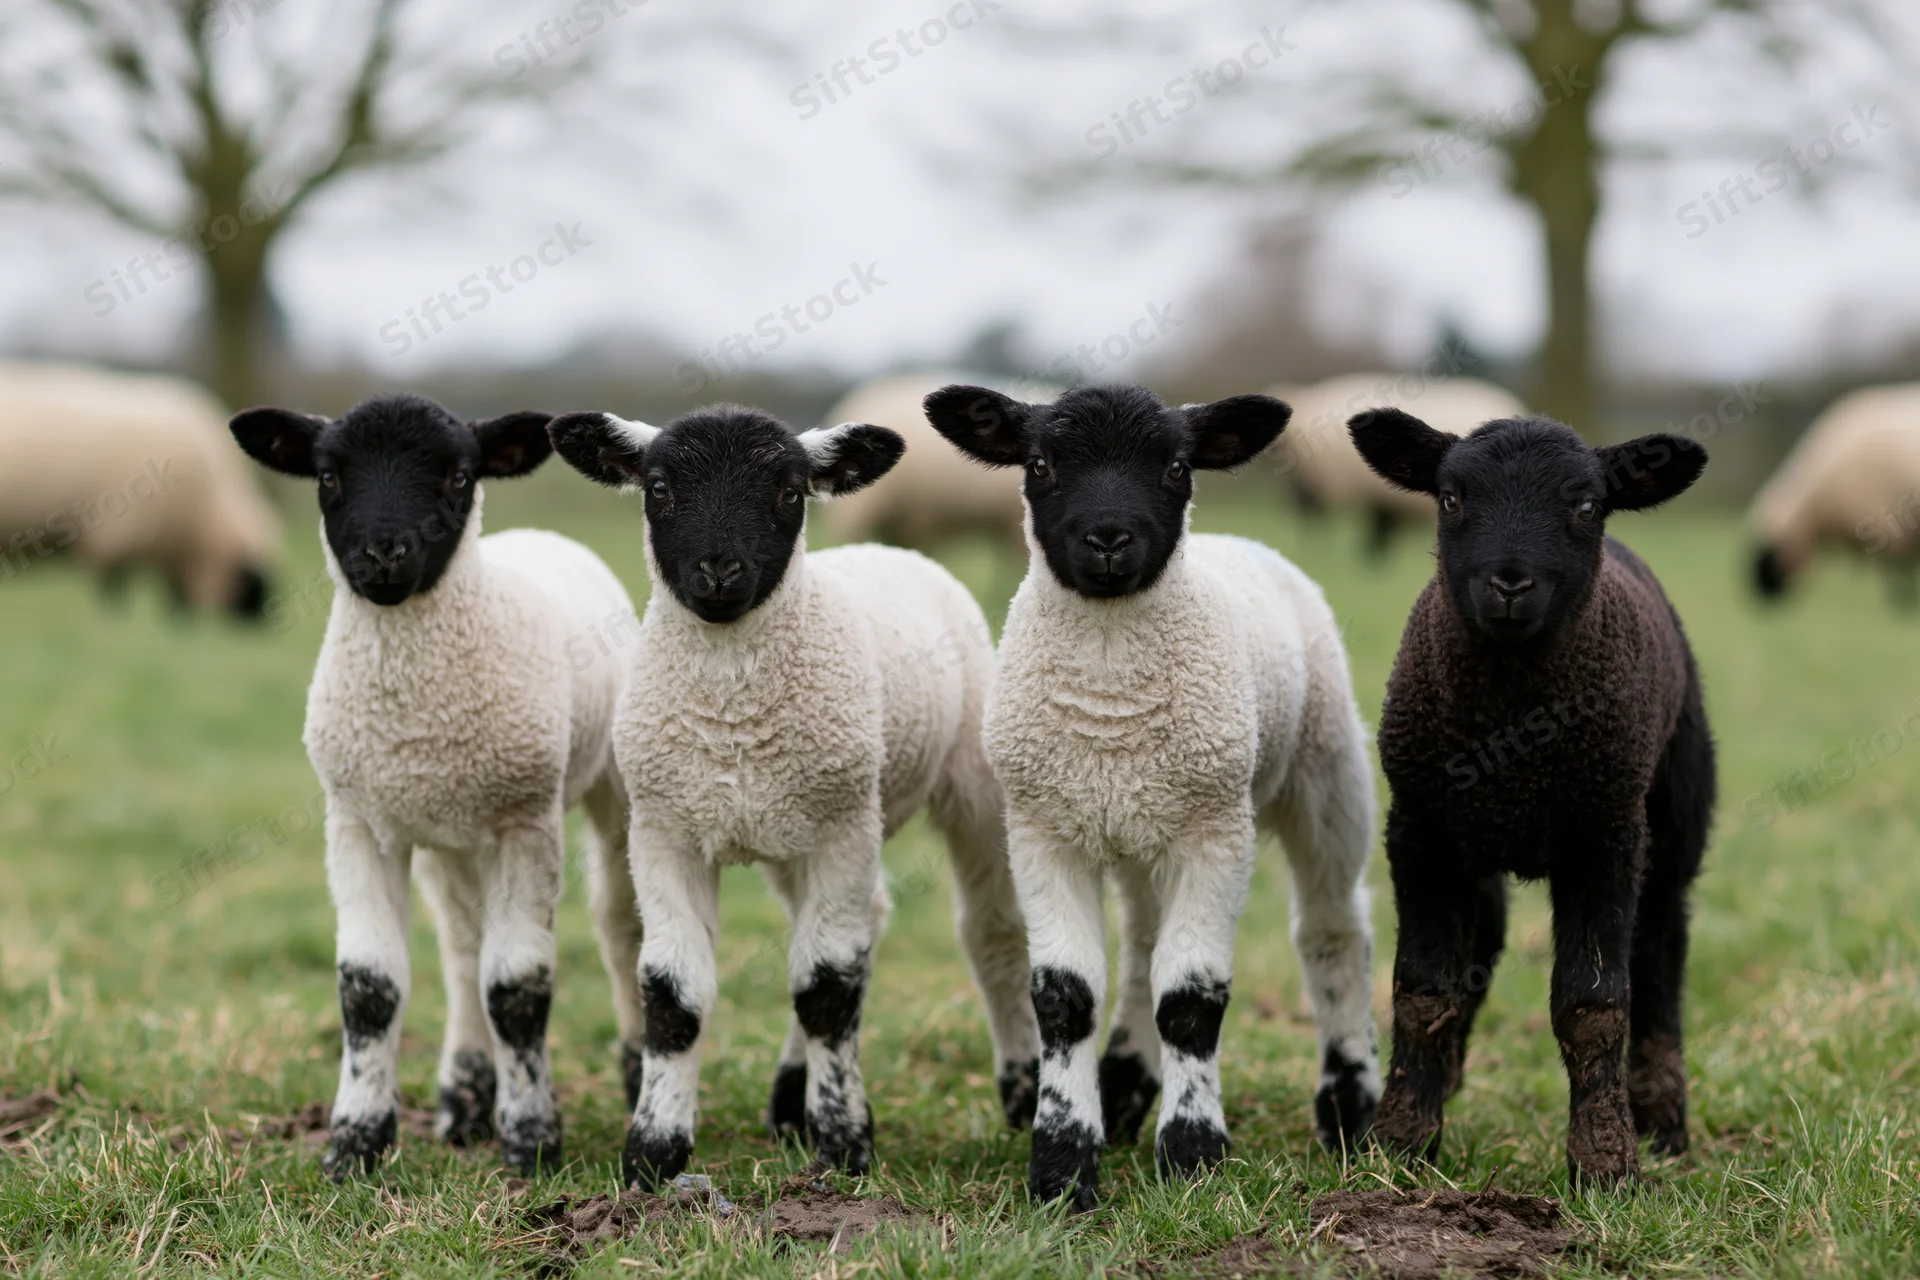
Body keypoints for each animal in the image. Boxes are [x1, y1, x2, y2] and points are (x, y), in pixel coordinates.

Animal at [228, 393, 643, 1180]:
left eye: (458, 475)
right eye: (328, 475)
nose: (384, 554)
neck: (418, 719)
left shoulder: (523, 822)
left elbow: (517, 987)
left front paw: (533, 1140)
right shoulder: (358, 823)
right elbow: (369, 987)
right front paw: (355, 1142)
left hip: (607, 791)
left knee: (618, 928)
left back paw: (636, 1075)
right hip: (447, 836)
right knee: (460, 946)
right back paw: (466, 1097)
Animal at [544, 403, 1039, 1189]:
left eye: (789, 490)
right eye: (658, 487)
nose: (718, 570)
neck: (734, 724)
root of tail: (885, 548)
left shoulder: (840, 832)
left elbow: (826, 990)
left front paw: (843, 1145)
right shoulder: (666, 834)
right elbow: (674, 995)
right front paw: (654, 1152)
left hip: (963, 787)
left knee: (991, 932)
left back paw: (1021, 1089)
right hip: (800, 830)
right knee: (863, 921)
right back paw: (788, 1099)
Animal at [926, 382, 1380, 1212]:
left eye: (1174, 467)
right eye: (1039, 464)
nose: (1108, 538)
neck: (1111, 698)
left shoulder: (1214, 834)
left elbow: (1191, 999)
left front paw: (1194, 1155)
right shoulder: (1042, 831)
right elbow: (1065, 997)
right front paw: (1063, 1166)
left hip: (1324, 776)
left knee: (1333, 931)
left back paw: (1349, 1107)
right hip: (1140, 825)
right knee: (1142, 946)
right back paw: (1126, 1085)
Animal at [1346, 408, 1716, 1183]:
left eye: (1585, 506)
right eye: (1450, 498)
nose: (1510, 583)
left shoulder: (1605, 834)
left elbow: (1594, 1004)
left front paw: (1605, 1163)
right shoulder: (1419, 832)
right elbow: (1424, 991)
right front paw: (1399, 1141)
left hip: (1670, 823)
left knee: (1661, 955)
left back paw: (1664, 1122)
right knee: (1481, 947)